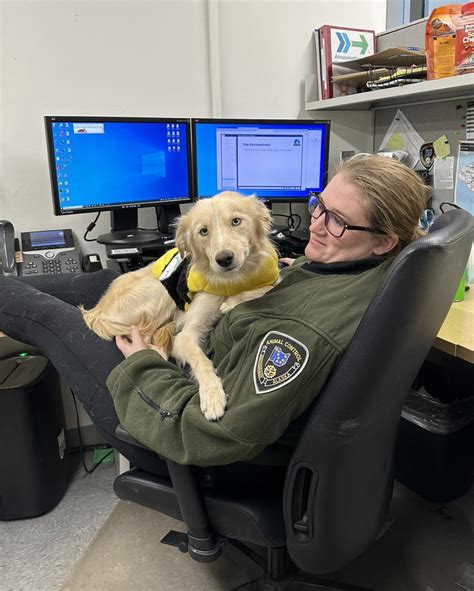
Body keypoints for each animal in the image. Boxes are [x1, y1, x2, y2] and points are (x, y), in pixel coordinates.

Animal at [81, 191, 280, 420]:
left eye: (236, 221)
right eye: (203, 231)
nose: (224, 259)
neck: (233, 281)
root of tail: (97, 311)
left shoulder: (272, 277)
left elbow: (268, 286)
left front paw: (232, 302)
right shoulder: (187, 333)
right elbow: (200, 360)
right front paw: (212, 395)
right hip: (160, 291)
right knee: (147, 338)